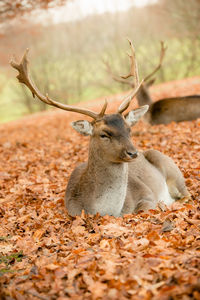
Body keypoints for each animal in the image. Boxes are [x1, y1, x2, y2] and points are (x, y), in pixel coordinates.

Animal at [10, 40, 189, 218]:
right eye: (104, 134)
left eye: (129, 129)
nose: (133, 153)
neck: (107, 211)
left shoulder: (147, 194)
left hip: (171, 168)